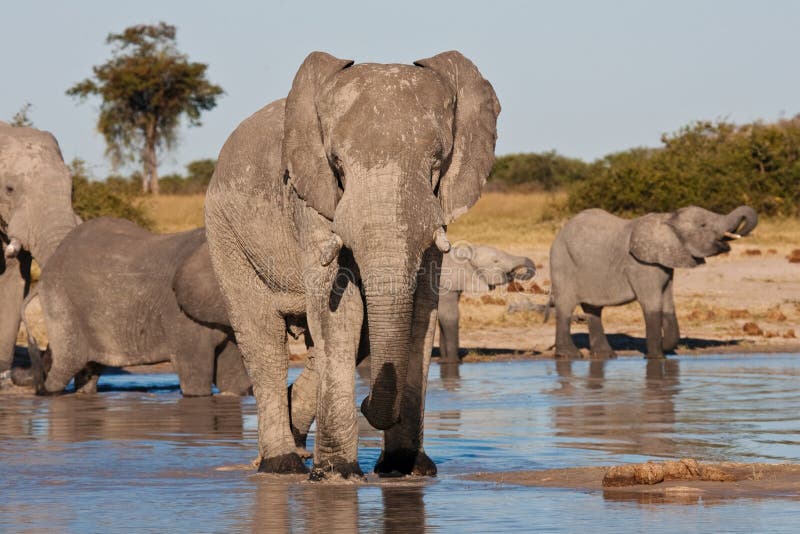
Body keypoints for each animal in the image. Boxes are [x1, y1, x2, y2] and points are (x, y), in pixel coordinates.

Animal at [30, 217, 251, 396]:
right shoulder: (179, 315)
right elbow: (196, 381)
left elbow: (233, 380)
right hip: (59, 298)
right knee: (67, 364)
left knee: (89, 371)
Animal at [205, 50, 499, 479]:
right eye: (337, 165)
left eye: (436, 163)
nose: (366, 404)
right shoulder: (312, 201)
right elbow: (339, 310)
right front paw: (337, 474)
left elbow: (420, 314)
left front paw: (405, 469)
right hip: (225, 234)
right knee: (262, 340)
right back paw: (282, 464)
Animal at [549, 205, 758, 359]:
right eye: (703, 225)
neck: (668, 219)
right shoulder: (641, 265)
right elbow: (652, 305)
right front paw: (657, 358)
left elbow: (667, 303)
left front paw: (665, 349)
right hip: (562, 263)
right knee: (566, 307)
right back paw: (570, 355)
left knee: (593, 310)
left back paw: (606, 356)